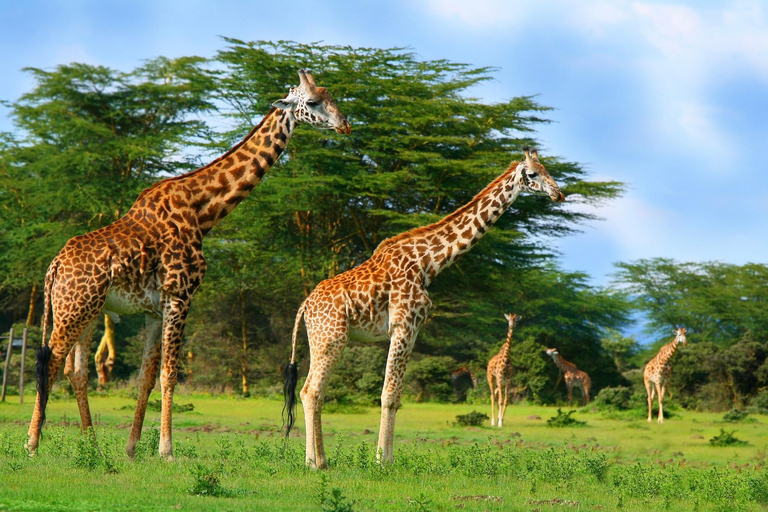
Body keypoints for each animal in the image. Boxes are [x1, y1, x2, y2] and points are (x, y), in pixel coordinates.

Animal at [27, 70, 352, 458]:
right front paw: (166, 450)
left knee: (74, 371)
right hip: (74, 308)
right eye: (314, 102)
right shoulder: (181, 296)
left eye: (330, 95)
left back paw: (92, 446)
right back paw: (33, 442)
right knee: (50, 362)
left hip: (87, 310)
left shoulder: (155, 310)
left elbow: (146, 377)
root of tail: (54, 267)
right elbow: (169, 374)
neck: (203, 210)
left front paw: (132, 448)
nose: (345, 125)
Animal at [284, 149, 564, 468]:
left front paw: (386, 458)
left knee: (310, 391)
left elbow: (396, 397)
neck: (428, 264)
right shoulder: (403, 325)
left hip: (319, 339)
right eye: (532, 174)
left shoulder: (414, 329)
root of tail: (305, 305)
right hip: (332, 338)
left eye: (546, 169)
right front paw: (383, 461)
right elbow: (389, 395)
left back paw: (316, 460)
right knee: (311, 391)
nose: (558, 193)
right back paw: (317, 463)